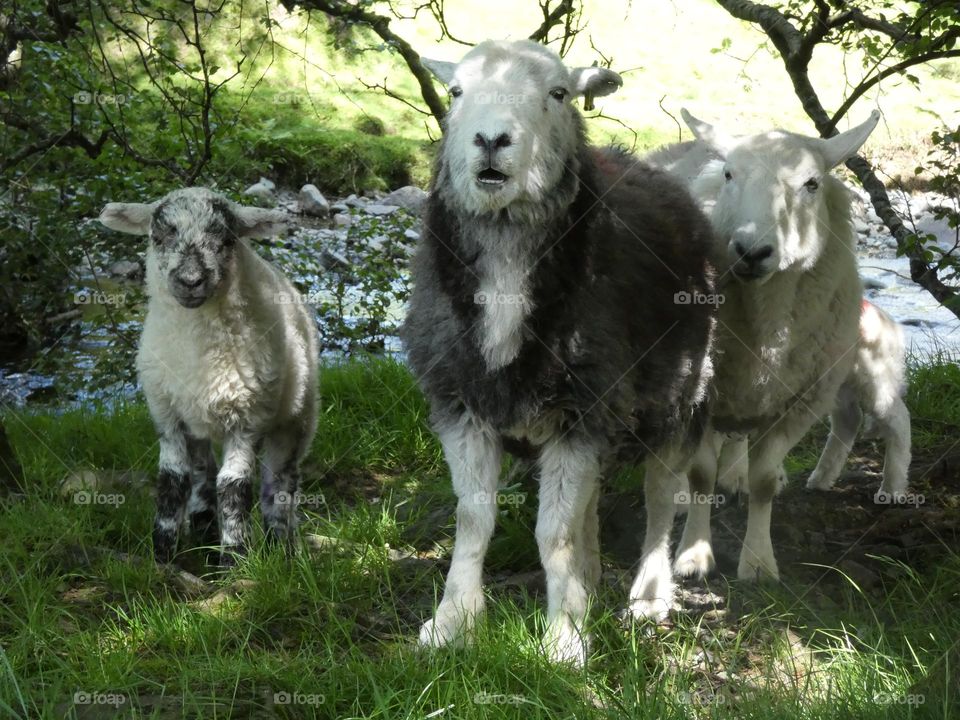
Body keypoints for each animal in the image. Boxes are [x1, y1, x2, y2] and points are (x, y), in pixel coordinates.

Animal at [98, 187, 318, 566]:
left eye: (227, 239)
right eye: (159, 236)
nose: (190, 281)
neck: (198, 351)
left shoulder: (248, 419)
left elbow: (234, 486)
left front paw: (235, 560)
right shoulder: (166, 414)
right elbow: (172, 480)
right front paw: (163, 556)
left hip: (296, 418)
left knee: (280, 483)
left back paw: (281, 546)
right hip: (195, 421)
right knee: (202, 475)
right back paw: (204, 531)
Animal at [402, 39, 718, 665]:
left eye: (559, 93)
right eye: (455, 91)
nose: (491, 140)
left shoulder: (582, 409)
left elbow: (556, 533)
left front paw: (564, 639)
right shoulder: (461, 404)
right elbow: (474, 519)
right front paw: (452, 622)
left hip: (681, 392)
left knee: (660, 495)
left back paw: (649, 594)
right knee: (593, 499)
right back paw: (589, 582)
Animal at [655, 110, 881, 583]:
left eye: (812, 183)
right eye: (728, 174)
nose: (750, 251)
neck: (763, 324)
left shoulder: (798, 400)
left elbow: (760, 483)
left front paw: (758, 562)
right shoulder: (702, 392)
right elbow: (701, 474)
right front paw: (694, 555)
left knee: (740, 438)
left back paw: (739, 473)